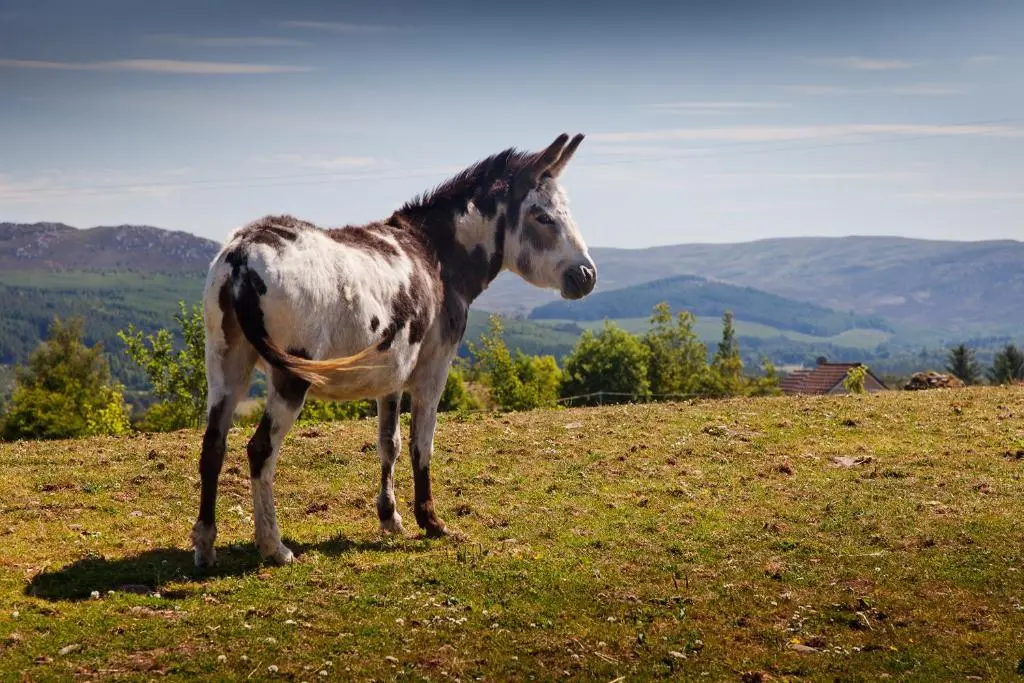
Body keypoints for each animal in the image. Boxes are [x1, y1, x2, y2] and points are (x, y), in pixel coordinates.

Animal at [191, 133, 597, 567]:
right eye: (543, 217)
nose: (588, 277)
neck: (435, 255)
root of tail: (241, 256)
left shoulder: (390, 376)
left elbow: (390, 444)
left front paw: (390, 517)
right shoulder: (434, 369)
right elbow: (422, 442)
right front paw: (431, 522)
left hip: (226, 365)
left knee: (213, 446)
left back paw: (205, 546)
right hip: (289, 377)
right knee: (260, 450)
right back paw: (274, 546)